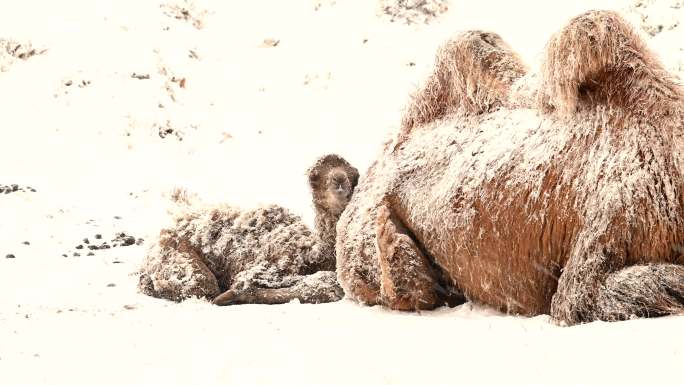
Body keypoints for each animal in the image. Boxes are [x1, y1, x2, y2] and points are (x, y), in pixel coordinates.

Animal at [138, 154, 358, 304]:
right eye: (314, 177)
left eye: (354, 174)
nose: (339, 180)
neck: (313, 253)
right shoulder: (268, 266)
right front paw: (231, 294)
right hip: (176, 256)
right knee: (202, 285)